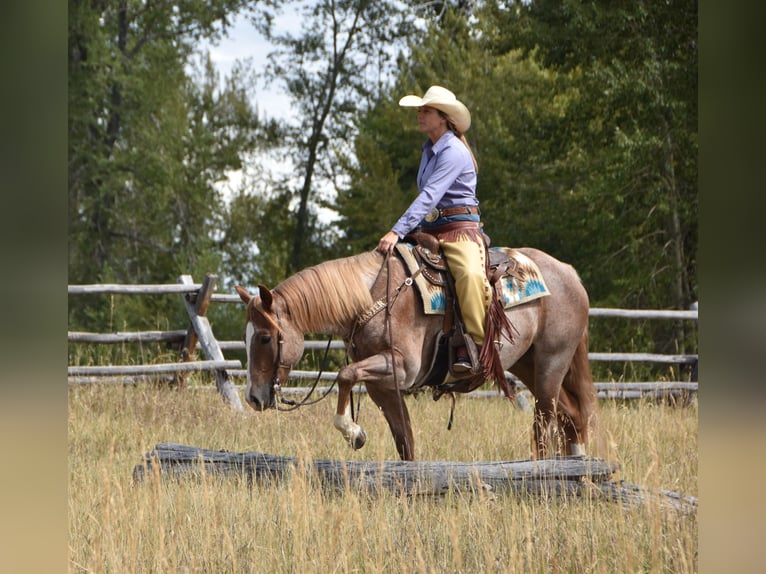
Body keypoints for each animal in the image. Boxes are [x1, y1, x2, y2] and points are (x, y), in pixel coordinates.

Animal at [234, 246, 598, 461]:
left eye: (265, 338)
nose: (253, 397)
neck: (371, 296)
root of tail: (569, 272)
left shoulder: (400, 367)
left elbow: (345, 374)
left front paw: (353, 432)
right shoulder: (383, 387)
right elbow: (405, 441)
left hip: (551, 364)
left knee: (545, 425)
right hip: (527, 364)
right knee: (572, 417)